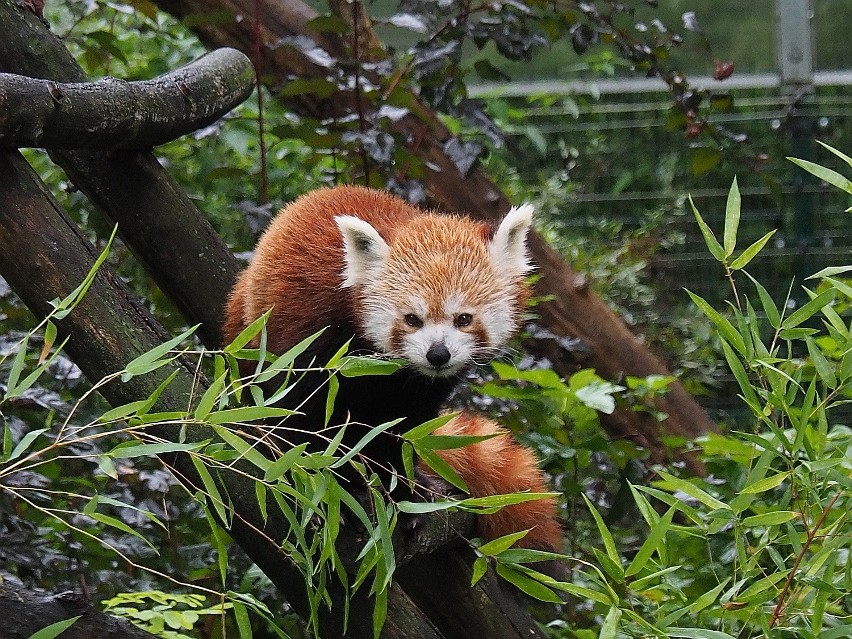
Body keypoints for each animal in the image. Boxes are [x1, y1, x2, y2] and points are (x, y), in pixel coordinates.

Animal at [223, 184, 564, 552]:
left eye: (463, 319)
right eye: (412, 319)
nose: (438, 354)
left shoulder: (418, 391)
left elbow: (402, 432)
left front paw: (404, 494)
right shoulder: (309, 334)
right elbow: (299, 415)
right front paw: (315, 479)